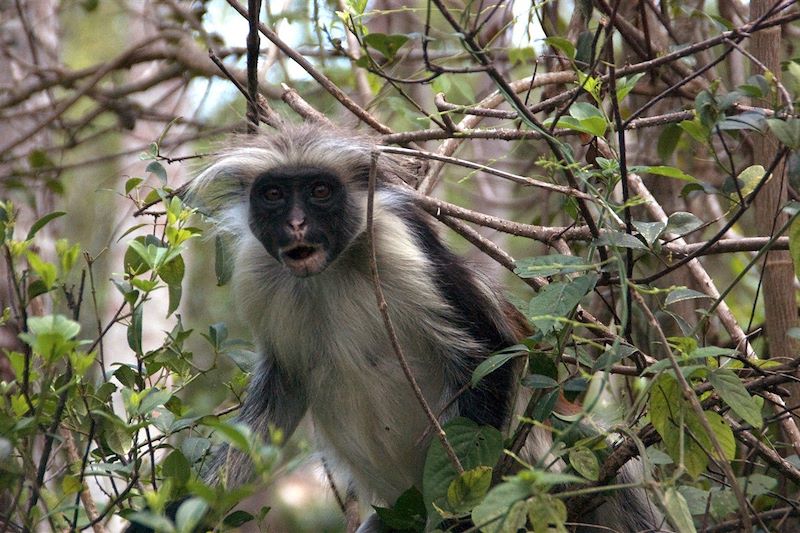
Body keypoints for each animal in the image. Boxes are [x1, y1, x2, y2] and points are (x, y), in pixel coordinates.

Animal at [131, 125, 668, 532]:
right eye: (274, 194)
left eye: (320, 191)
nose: (297, 224)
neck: (329, 271)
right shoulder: (257, 275)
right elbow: (273, 404)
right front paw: (176, 515)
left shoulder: (396, 238)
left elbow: (490, 352)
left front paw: (463, 512)